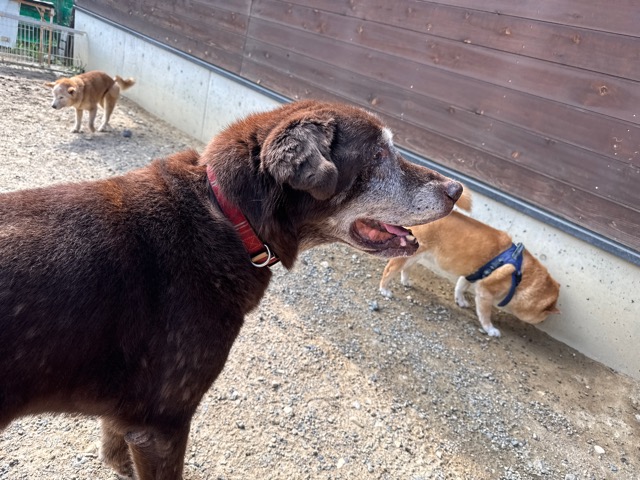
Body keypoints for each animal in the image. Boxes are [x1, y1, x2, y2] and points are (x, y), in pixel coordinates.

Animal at [0, 100, 462, 479]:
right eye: (380, 154)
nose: (457, 190)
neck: (227, 217)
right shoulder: (161, 425)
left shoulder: (128, 420)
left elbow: (115, 451)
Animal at [379, 189, 560, 337]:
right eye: (543, 315)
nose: (544, 322)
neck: (521, 274)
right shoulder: (485, 292)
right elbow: (485, 315)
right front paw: (490, 329)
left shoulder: (471, 274)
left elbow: (460, 287)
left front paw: (460, 301)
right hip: (407, 255)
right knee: (389, 270)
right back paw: (384, 289)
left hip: (416, 255)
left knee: (406, 269)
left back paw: (406, 281)